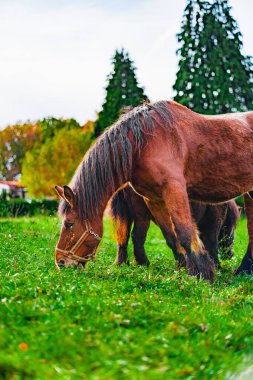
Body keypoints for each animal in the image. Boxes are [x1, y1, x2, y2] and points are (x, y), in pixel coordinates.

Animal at [110, 185, 239, 268]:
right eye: (233, 226)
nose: (231, 254)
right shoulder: (214, 222)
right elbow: (211, 244)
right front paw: (218, 267)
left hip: (128, 213)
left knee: (123, 237)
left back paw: (122, 264)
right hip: (141, 214)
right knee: (137, 236)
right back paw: (144, 263)